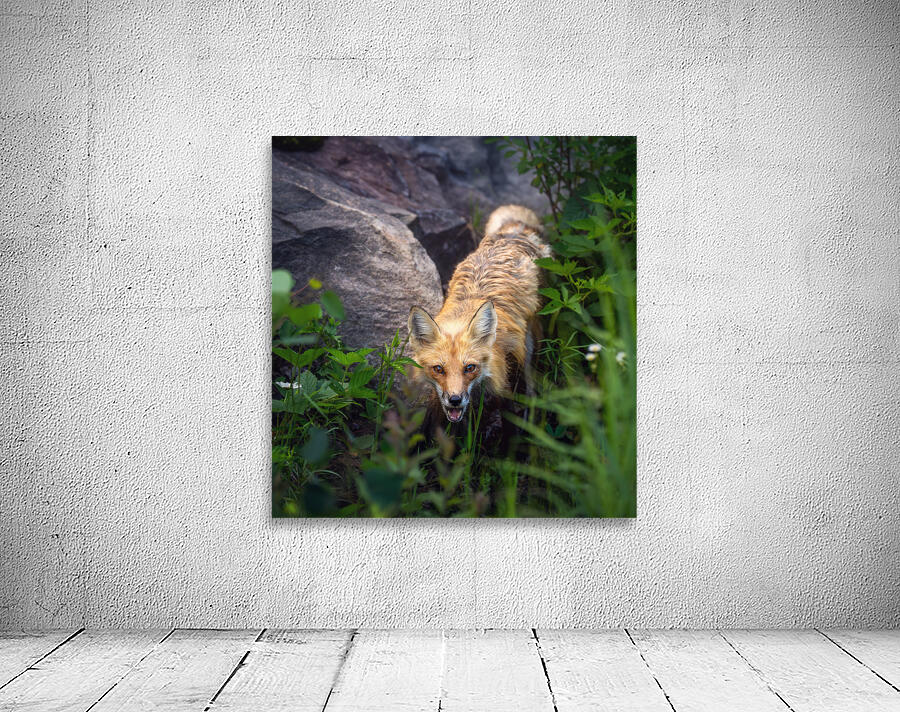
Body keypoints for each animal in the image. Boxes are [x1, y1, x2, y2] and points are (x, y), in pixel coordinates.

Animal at [407, 204, 550, 424]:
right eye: (438, 369)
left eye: (470, 368)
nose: (455, 400)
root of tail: (513, 234)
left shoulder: (505, 371)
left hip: (530, 343)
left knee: (531, 384)